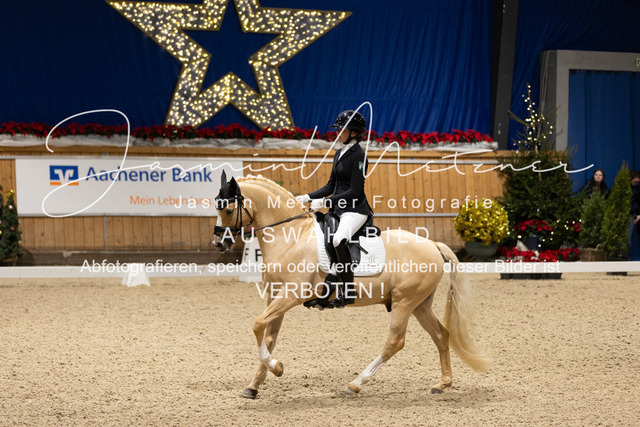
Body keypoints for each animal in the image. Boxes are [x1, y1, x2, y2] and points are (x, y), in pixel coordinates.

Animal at [212, 173, 489, 399]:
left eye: (228, 210)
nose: (219, 244)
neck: (291, 238)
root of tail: (433, 244)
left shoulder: (292, 296)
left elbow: (258, 325)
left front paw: (277, 368)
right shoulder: (275, 297)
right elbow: (268, 336)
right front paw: (254, 385)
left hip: (405, 301)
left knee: (395, 341)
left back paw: (356, 383)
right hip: (420, 304)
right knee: (441, 335)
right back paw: (442, 384)